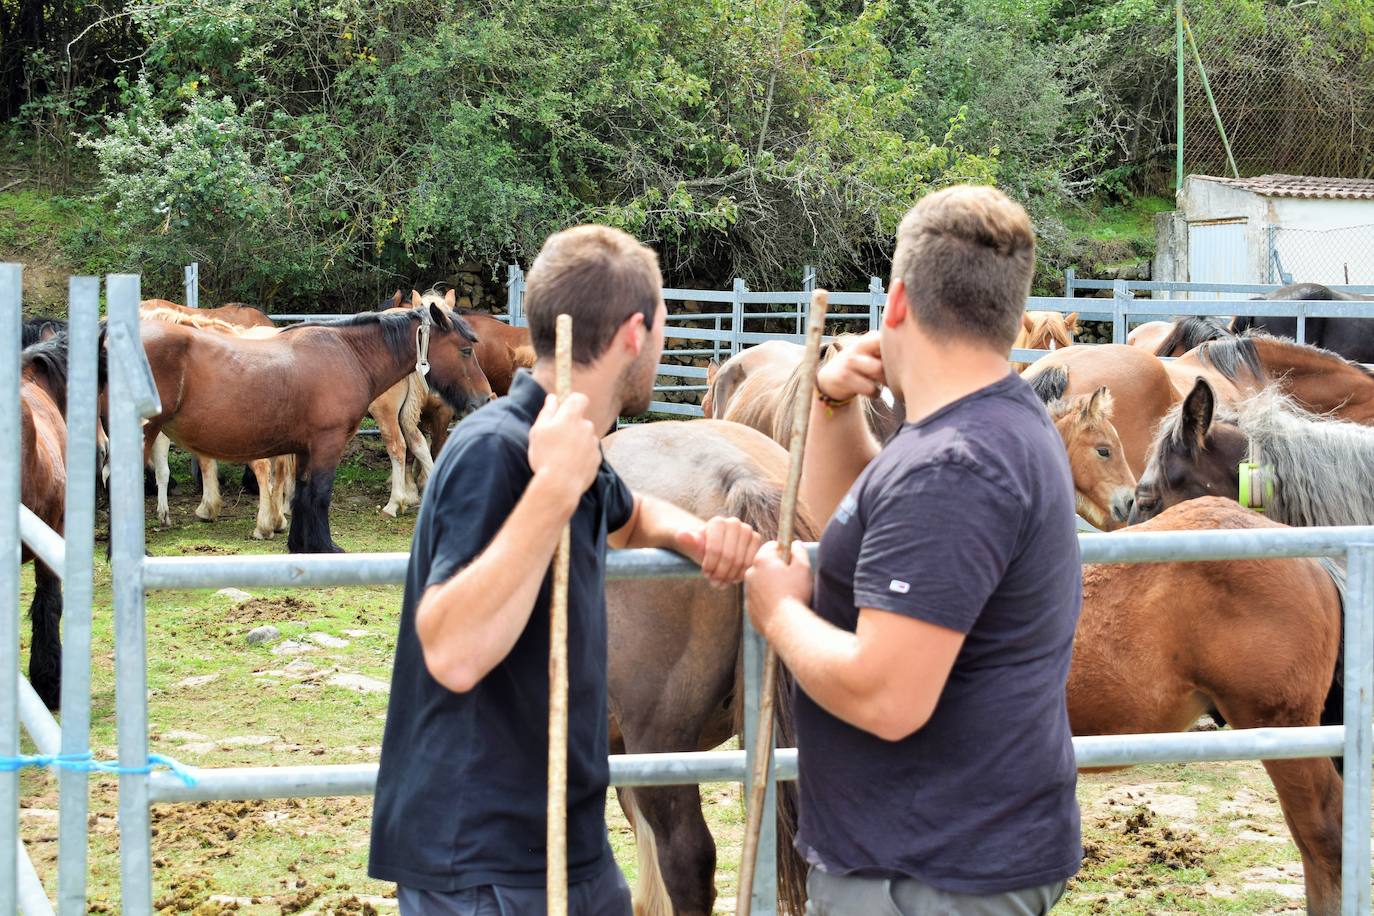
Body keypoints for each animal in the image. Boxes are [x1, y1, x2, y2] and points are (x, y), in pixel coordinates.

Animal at [139, 306, 491, 552]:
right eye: (465, 350)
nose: (485, 397)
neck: (349, 356)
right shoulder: (327, 444)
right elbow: (320, 494)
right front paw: (325, 546)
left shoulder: (304, 449)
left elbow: (302, 493)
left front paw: (299, 544)